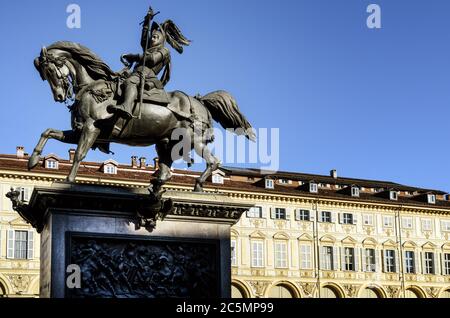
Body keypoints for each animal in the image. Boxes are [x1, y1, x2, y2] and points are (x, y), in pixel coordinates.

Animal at [30, 40, 256, 193]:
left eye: (51, 70)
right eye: (44, 75)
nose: (59, 96)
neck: (93, 88)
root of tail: (200, 101)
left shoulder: (91, 128)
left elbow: (79, 154)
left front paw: (68, 180)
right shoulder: (79, 130)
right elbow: (48, 132)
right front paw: (33, 160)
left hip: (195, 140)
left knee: (213, 162)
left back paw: (198, 187)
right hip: (166, 143)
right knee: (166, 172)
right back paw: (155, 188)